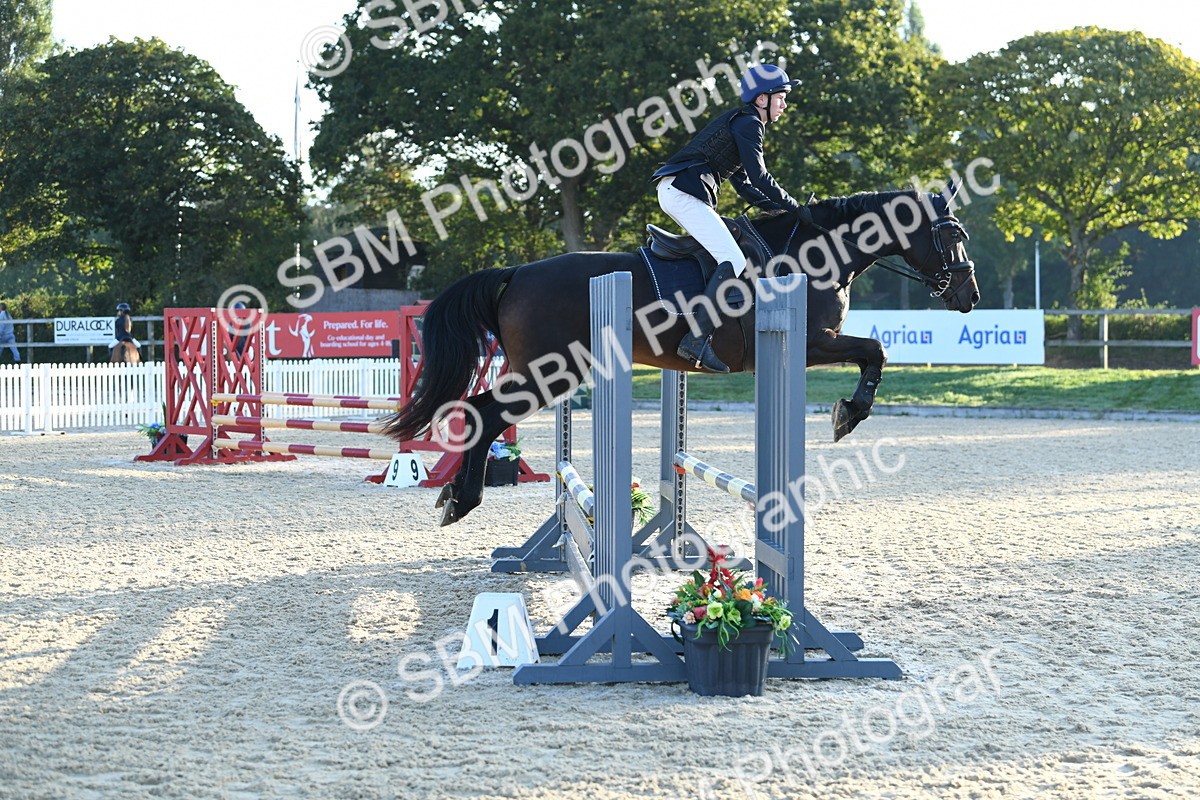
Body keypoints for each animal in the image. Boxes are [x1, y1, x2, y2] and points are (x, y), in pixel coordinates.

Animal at [385, 187, 979, 526]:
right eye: (951, 234)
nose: (968, 295)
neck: (815, 253)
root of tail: (516, 273)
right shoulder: (815, 341)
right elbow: (875, 350)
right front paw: (848, 415)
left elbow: (874, 352)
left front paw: (847, 412)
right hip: (547, 374)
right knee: (484, 415)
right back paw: (461, 501)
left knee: (480, 412)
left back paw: (453, 497)